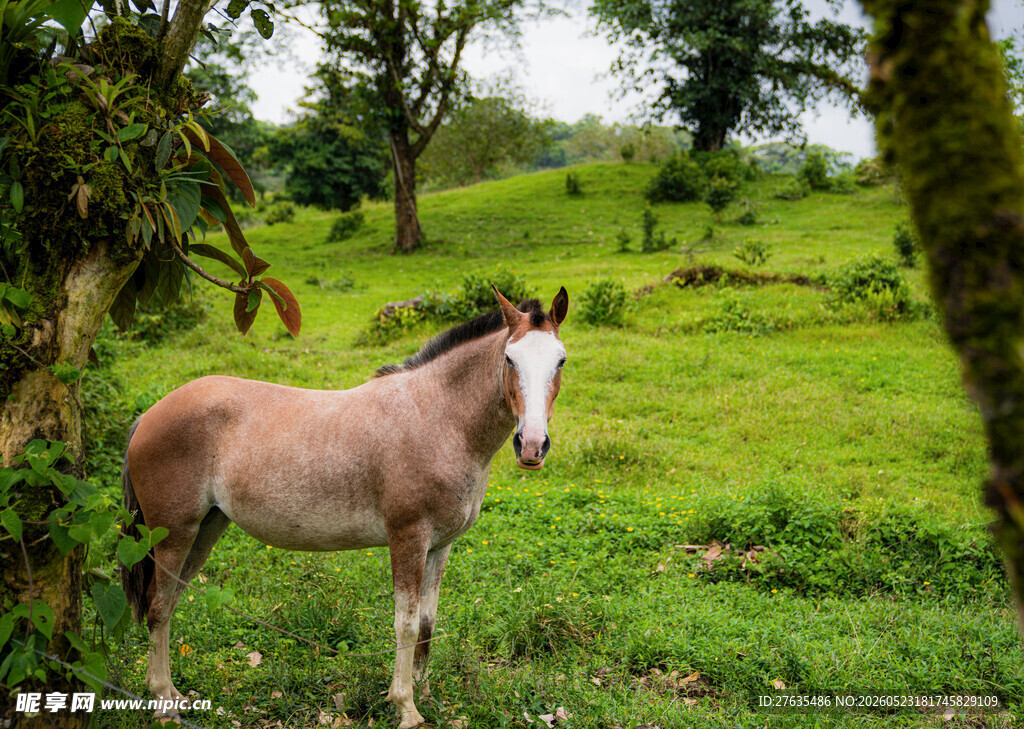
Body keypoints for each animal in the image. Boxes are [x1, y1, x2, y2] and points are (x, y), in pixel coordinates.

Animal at [120, 286, 569, 728]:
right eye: (510, 358)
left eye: (561, 360)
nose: (532, 445)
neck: (436, 416)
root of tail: (147, 416)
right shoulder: (408, 539)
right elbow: (405, 624)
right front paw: (405, 706)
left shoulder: (440, 547)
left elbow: (427, 623)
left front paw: (425, 694)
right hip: (175, 534)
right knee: (158, 608)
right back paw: (163, 701)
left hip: (206, 530)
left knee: (169, 605)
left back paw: (172, 695)